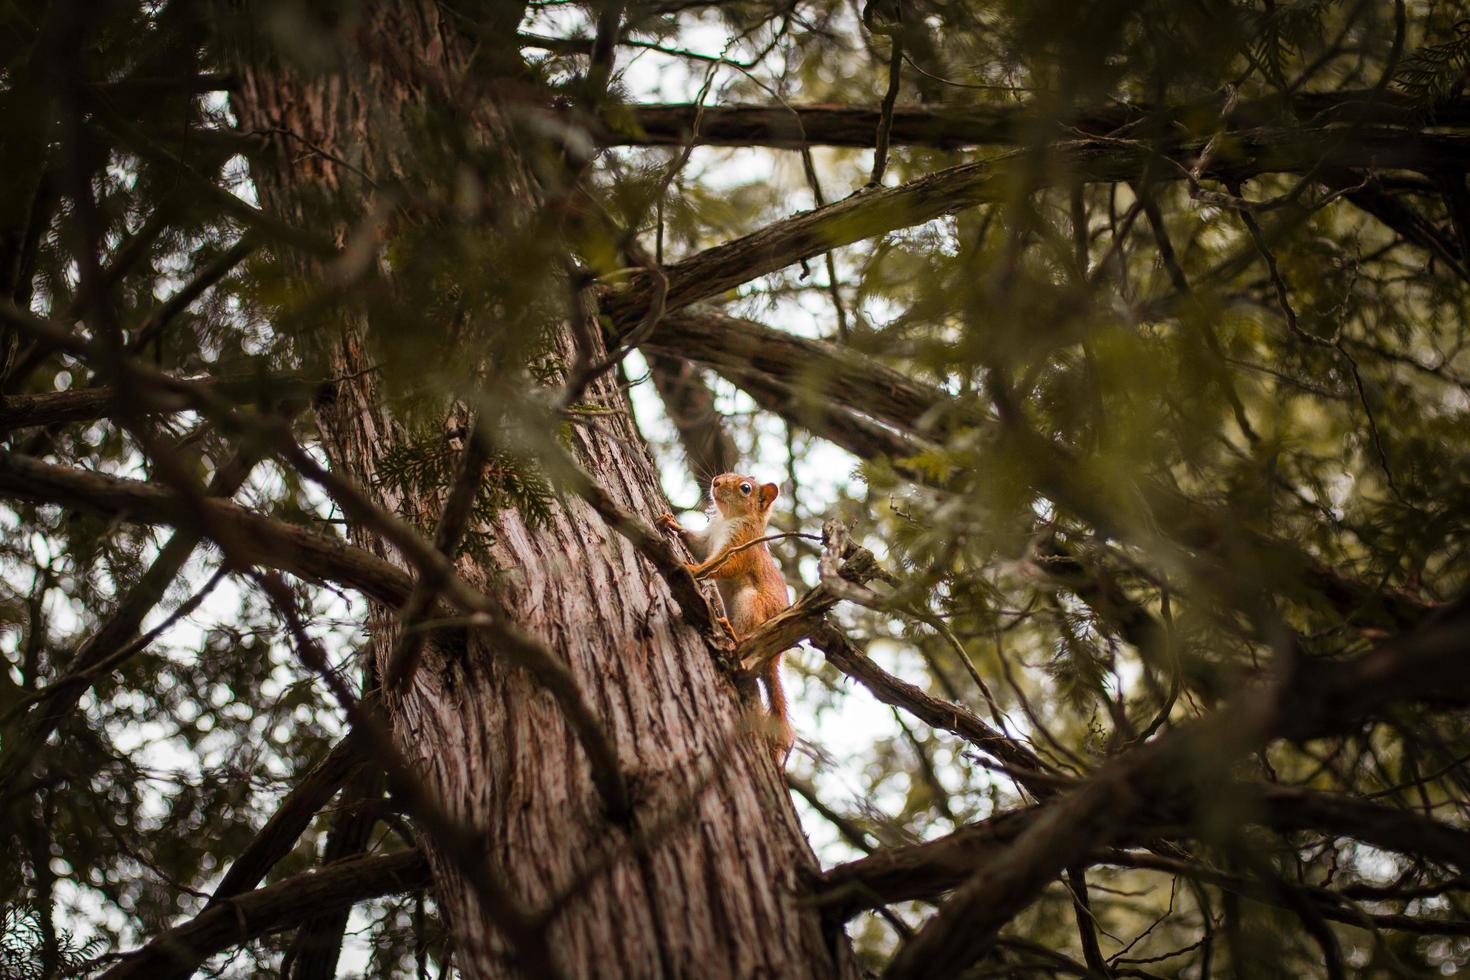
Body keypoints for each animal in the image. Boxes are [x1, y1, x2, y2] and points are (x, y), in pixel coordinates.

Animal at [658, 476, 793, 764]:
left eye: (746, 488)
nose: (716, 481)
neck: (728, 518)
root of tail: (774, 658)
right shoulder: (708, 538)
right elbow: (696, 544)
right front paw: (672, 524)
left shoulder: (739, 545)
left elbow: (722, 565)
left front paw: (694, 569)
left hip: (750, 604)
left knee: (745, 638)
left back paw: (731, 632)